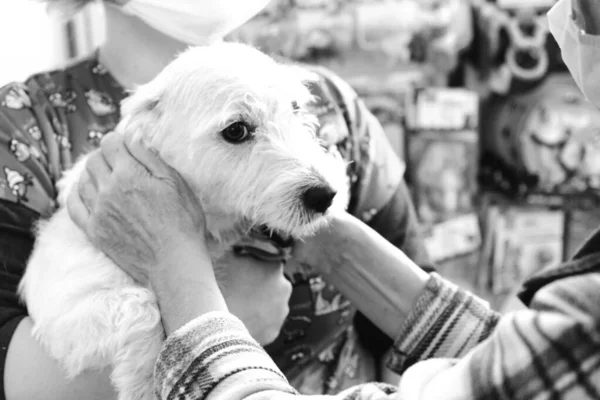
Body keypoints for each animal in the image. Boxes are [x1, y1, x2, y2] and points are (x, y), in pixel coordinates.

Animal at [17, 43, 346, 400]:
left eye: (295, 108)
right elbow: (142, 307)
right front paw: (143, 385)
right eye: (236, 130)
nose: (325, 195)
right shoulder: (65, 310)